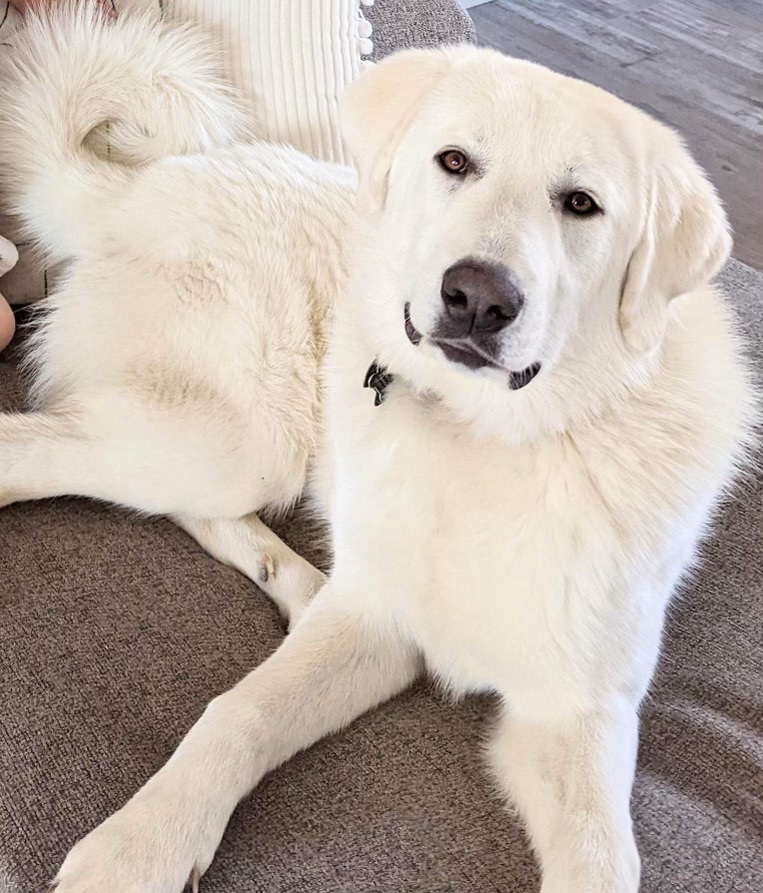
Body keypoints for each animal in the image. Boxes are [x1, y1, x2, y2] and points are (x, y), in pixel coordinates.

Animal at [0, 6, 756, 892]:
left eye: (581, 204)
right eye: (454, 161)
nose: (476, 299)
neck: (486, 436)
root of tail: (153, 178)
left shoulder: (575, 712)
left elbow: (603, 858)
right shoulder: (372, 625)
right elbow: (236, 711)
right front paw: (141, 844)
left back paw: (295, 581)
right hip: (242, 438)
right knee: (41, 449)